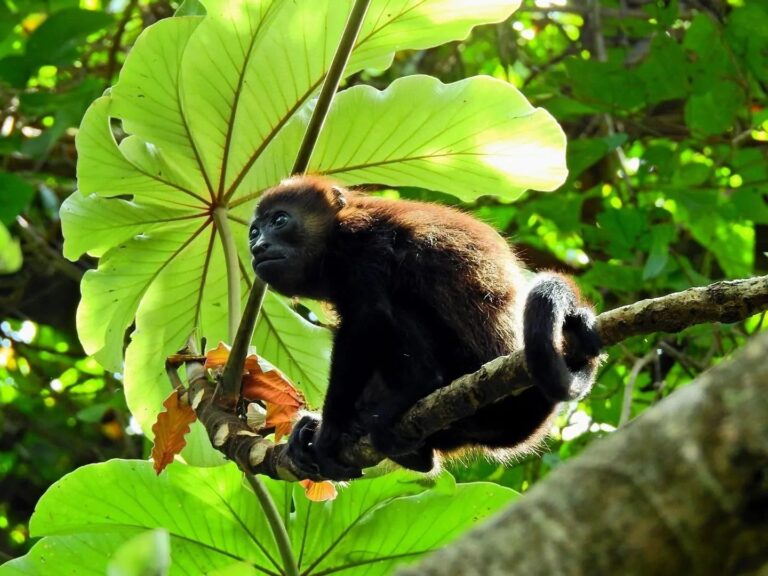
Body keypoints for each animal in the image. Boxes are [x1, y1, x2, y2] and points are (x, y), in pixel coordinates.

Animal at [249, 175, 601, 481]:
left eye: (279, 220)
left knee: (397, 305)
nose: (257, 246)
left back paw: (416, 389)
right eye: (253, 231)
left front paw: (331, 430)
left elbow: (368, 318)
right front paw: (319, 425)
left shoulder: (361, 242)